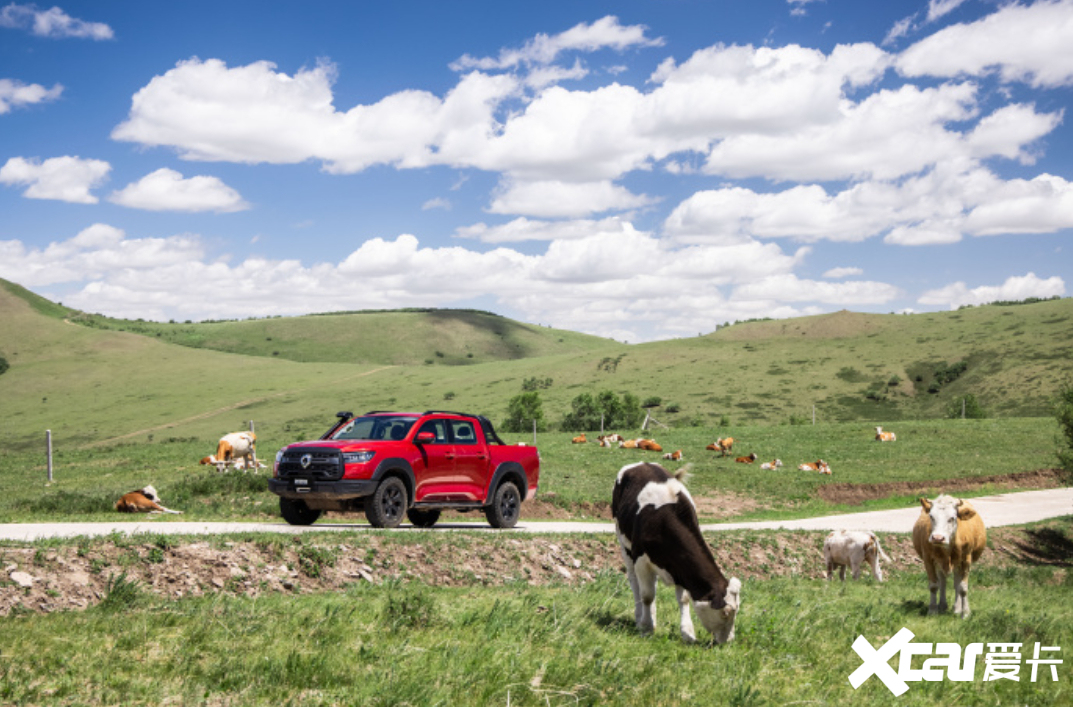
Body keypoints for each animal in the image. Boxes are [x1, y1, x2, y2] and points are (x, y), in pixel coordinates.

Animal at [613, 461, 746, 643]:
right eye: (726, 612)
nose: (729, 641)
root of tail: (641, 463)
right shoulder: (641, 559)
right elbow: (647, 595)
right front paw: (646, 628)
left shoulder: (681, 567)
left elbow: (683, 599)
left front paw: (687, 633)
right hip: (623, 543)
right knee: (634, 582)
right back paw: (640, 617)